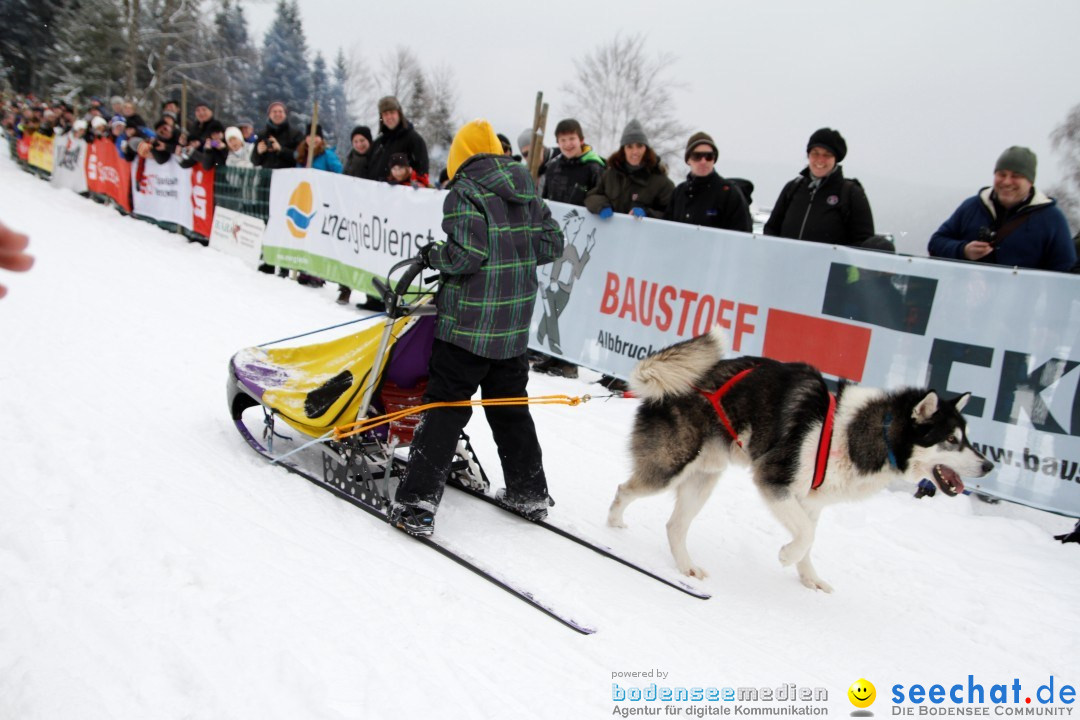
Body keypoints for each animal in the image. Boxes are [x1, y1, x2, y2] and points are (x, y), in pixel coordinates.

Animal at [604, 330, 989, 595]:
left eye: (968, 438)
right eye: (951, 439)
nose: (988, 466)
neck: (853, 432)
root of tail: (681, 381)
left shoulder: (810, 500)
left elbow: (811, 536)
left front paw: (810, 578)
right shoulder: (773, 481)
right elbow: (804, 534)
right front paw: (787, 556)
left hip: (704, 477)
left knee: (674, 526)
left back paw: (686, 567)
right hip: (669, 467)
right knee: (624, 489)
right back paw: (613, 524)